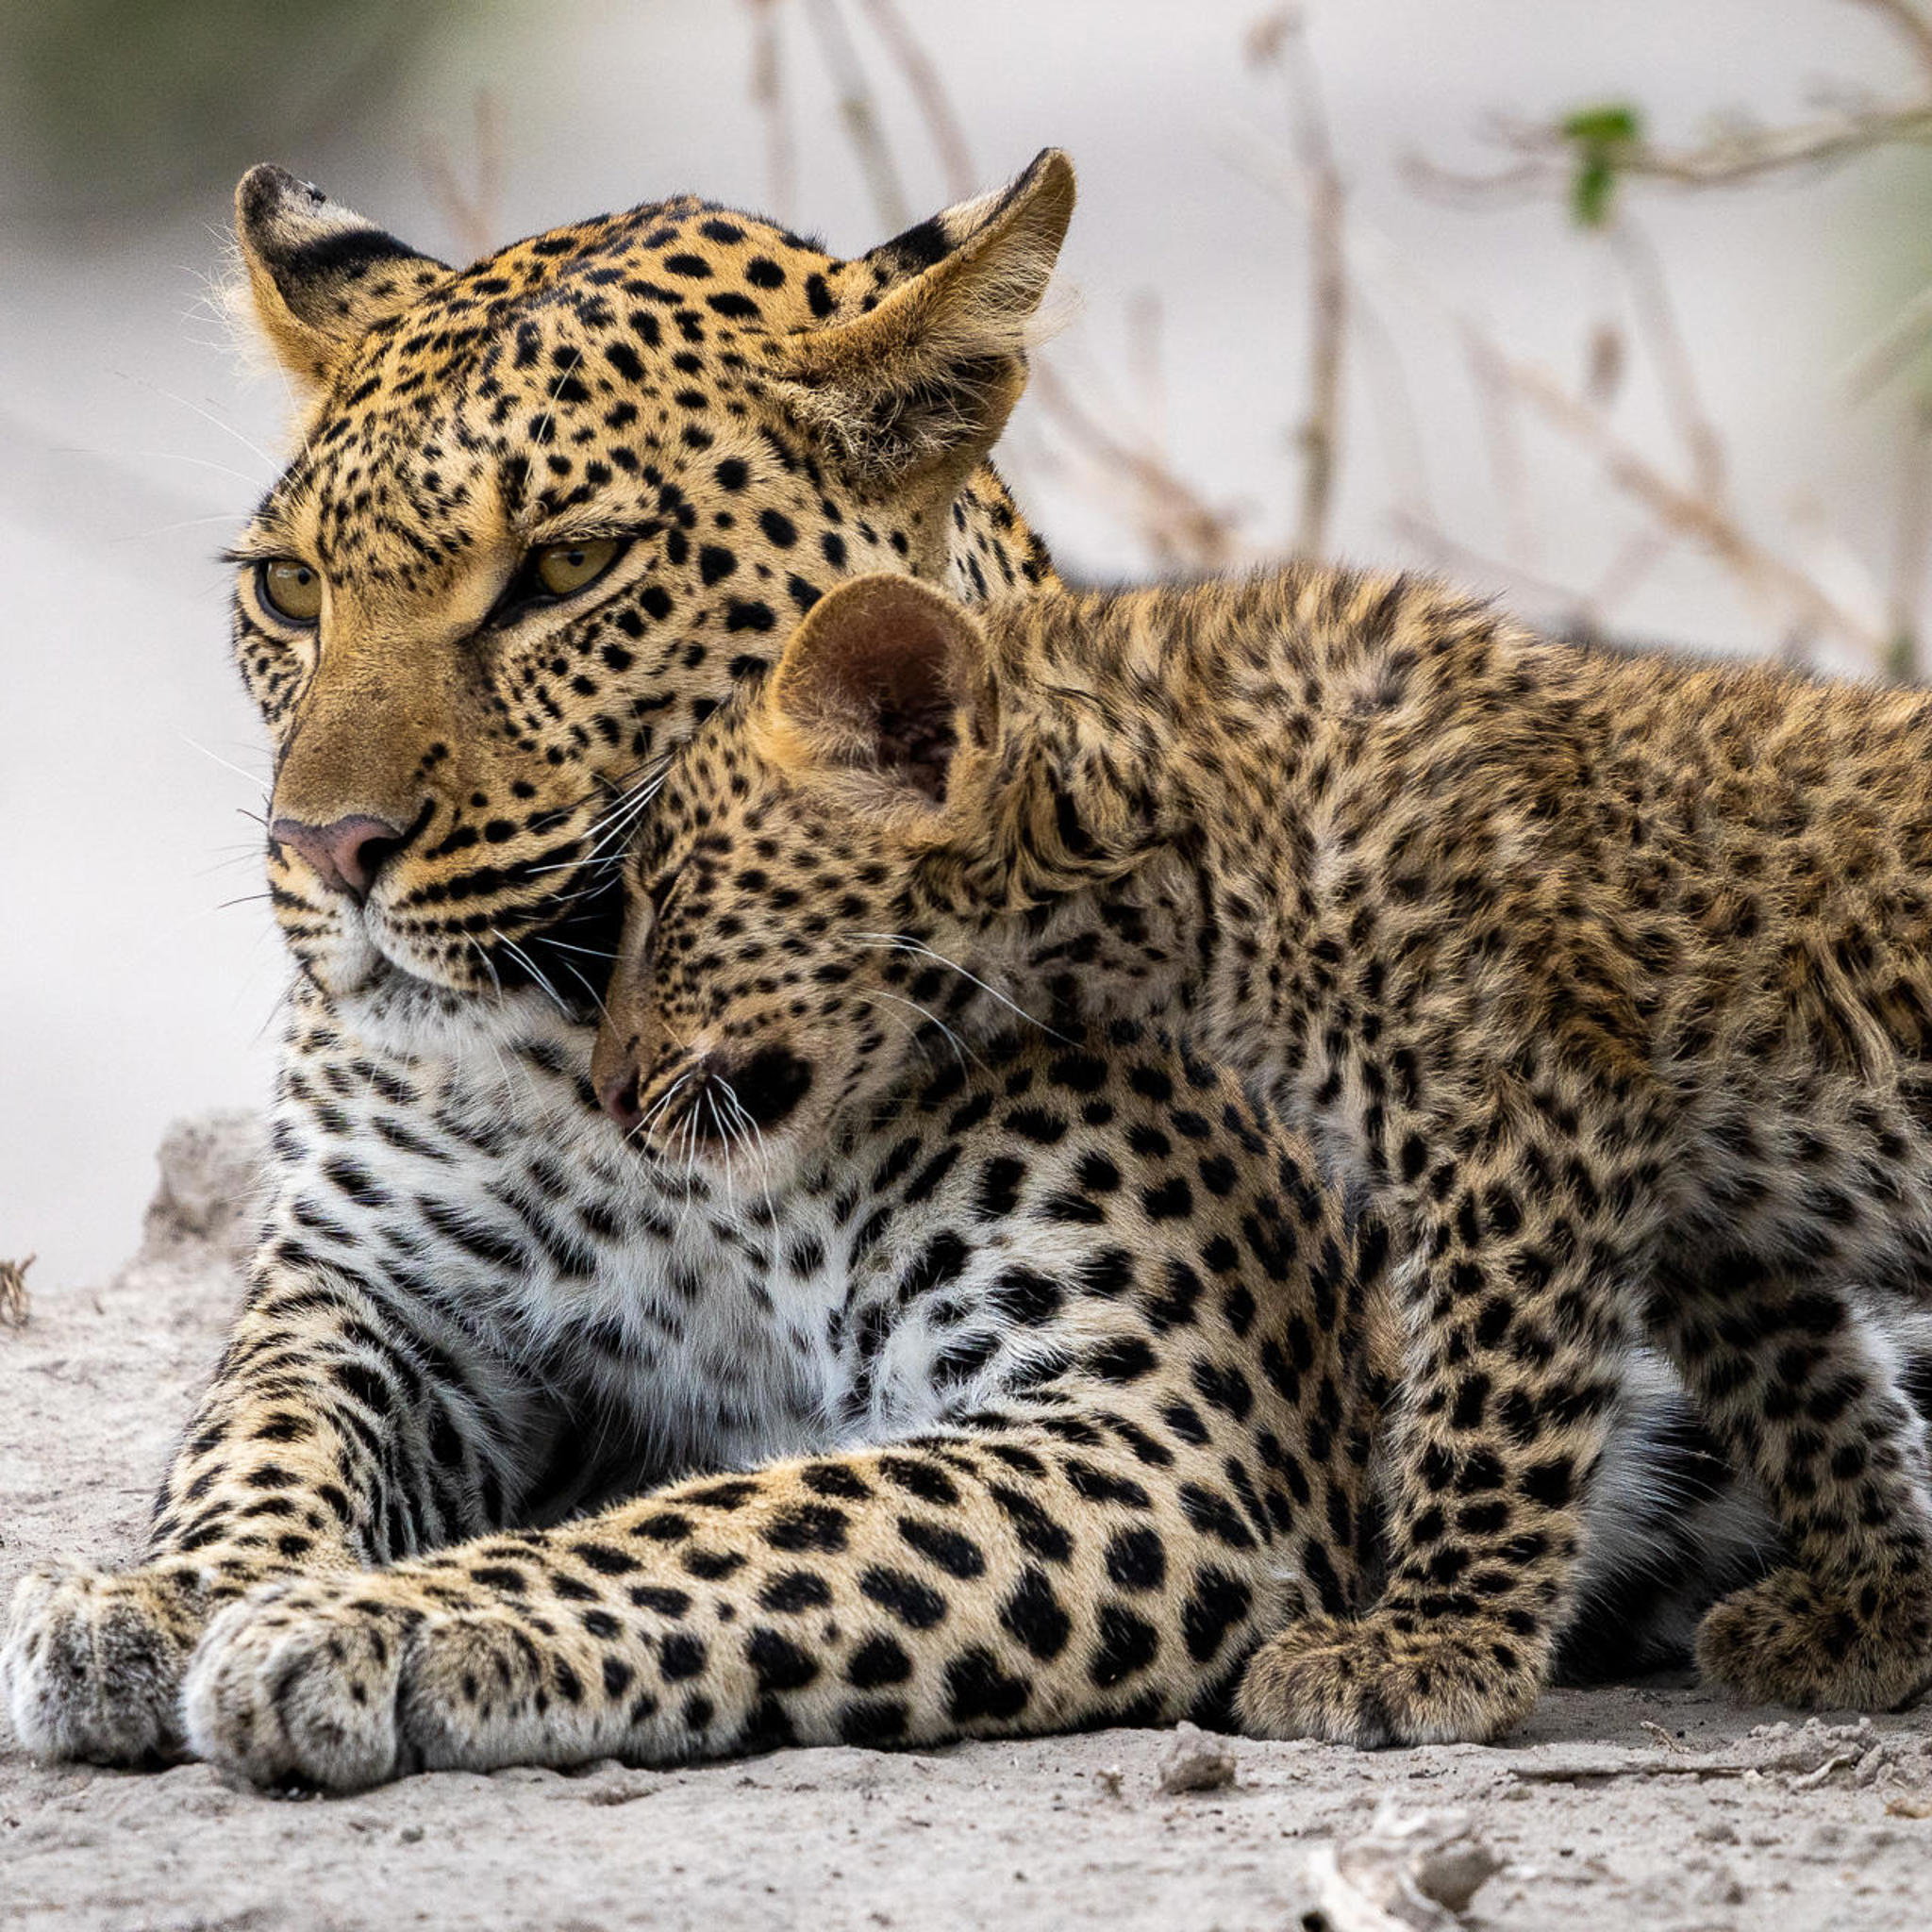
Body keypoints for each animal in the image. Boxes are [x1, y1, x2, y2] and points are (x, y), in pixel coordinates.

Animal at [1, 148, 1080, 1769]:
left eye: (568, 567)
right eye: (291, 590)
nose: (325, 845)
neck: (610, 1065)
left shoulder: (1149, 1420)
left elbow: (732, 1530)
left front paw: (370, 1622)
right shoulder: (379, 1291)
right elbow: (264, 1433)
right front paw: (166, 1596)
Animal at [584, 563, 1932, 1748]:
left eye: (665, 899)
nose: (606, 1089)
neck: (1178, 848)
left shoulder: (1522, 1123)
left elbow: (1485, 1407)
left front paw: (1424, 1654)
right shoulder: (1716, 1202)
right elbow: (1805, 1395)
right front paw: (1874, 1607)